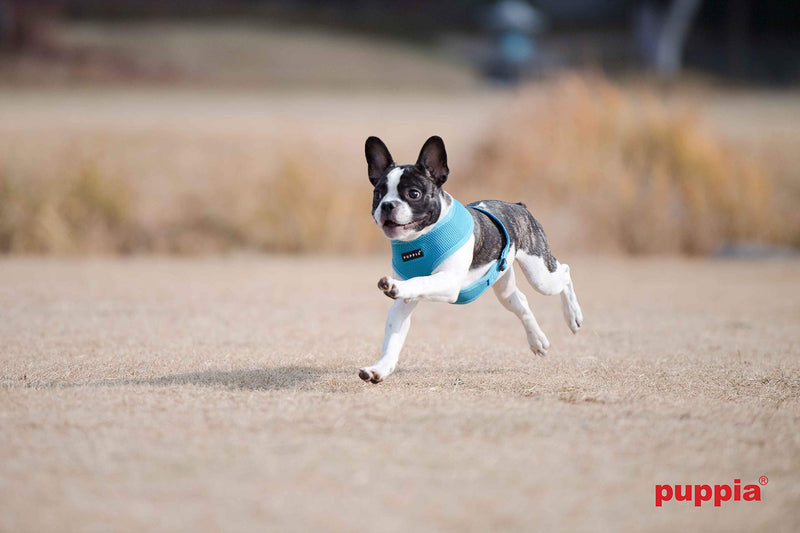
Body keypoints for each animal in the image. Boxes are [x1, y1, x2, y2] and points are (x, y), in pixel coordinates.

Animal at [360, 134, 584, 382]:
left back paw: (573, 316)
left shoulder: (448, 282)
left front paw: (395, 287)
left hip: (540, 274)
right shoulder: (402, 306)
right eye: (377, 195)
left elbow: (420, 281)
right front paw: (380, 368)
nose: (387, 205)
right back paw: (537, 341)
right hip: (504, 286)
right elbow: (393, 339)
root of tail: (518, 206)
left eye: (414, 194)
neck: (419, 240)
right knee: (520, 302)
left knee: (565, 272)